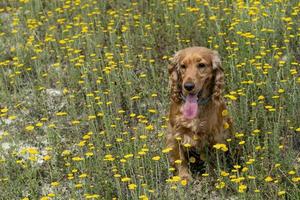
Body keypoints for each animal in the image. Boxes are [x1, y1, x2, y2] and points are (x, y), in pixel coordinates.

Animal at [166, 47, 232, 181]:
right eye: (183, 66)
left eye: (201, 65)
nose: (188, 86)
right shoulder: (175, 134)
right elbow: (181, 159)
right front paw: (184, 178)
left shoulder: (215, 136)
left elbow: (212, 161)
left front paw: (212, 176)